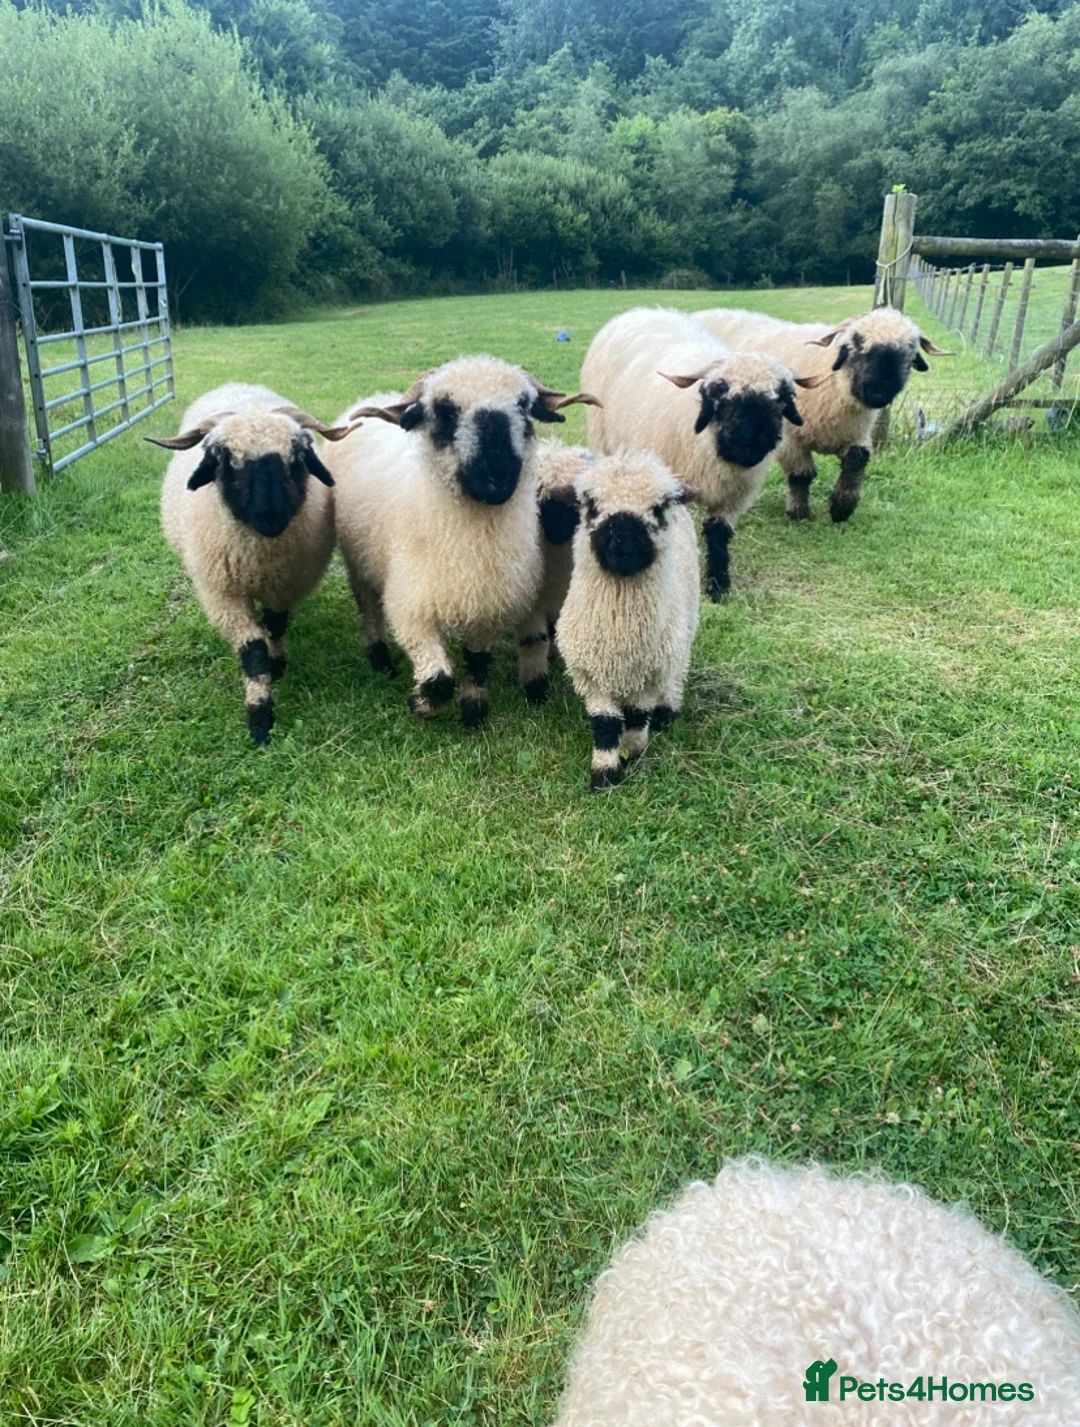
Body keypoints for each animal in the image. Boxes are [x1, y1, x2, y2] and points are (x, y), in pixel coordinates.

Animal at [151, 383, 352, 745]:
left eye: (296, 457)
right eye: (225, 461)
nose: (270, 516)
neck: (260, 560)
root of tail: (237, 386)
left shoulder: (285, 585)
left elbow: (275, 626)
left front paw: (278, 664)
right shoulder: (223, 596)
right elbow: (253, 651)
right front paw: (260, 717)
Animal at [554, 447, 700, 790]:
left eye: (658, 508)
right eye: (591, 505)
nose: (621, 546)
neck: (620, 633)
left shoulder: (649, 674)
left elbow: (636, 716)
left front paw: (633, 753)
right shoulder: (591, 675)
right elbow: (605, 725)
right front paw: (605, 774)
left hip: (684, 629)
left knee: (677, 672)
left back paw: (666, 713)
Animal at [580, 307, 823, 600]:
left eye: (779, 401)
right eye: (722, 400)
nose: (751, 443)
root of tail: (640, 311)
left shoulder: (734, 498)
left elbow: (718, 534)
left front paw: (719, 585)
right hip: (601, 436)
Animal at [695, 306, 950, 523]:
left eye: (909, 353)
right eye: (859, 346)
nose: (879, 392)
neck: (835, 386)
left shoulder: (856, 434)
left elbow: (857, 460)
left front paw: (841, 507)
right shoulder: (791, 438)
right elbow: (802, 475)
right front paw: (799, 512)